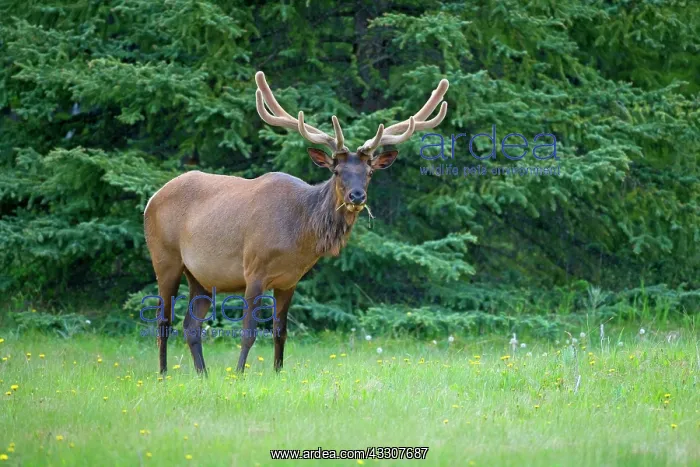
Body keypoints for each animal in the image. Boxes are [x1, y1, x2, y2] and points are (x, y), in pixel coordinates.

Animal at [143, 71, 449, 375]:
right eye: (337, 171)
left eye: (370, 172)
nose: (357, 195)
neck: (297, 236)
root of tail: (152, 198)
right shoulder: (253, 269)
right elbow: (248, 332)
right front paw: (239, 374)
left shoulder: (289, 281)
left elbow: (281, 332)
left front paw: (278, 373)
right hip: (165, 258)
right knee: (163, 321)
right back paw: (163, 373)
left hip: (202, 277)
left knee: (191, 326)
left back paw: (203, 374)